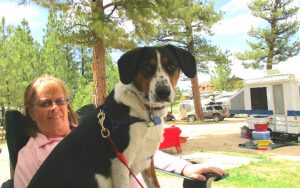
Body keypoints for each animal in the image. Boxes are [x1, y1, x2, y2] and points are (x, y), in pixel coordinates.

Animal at [27, 44, 197, 187]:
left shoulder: (147, 162)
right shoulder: (120, 164)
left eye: (172, 67)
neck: (145, 113)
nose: (163, 92)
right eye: (146, 68)